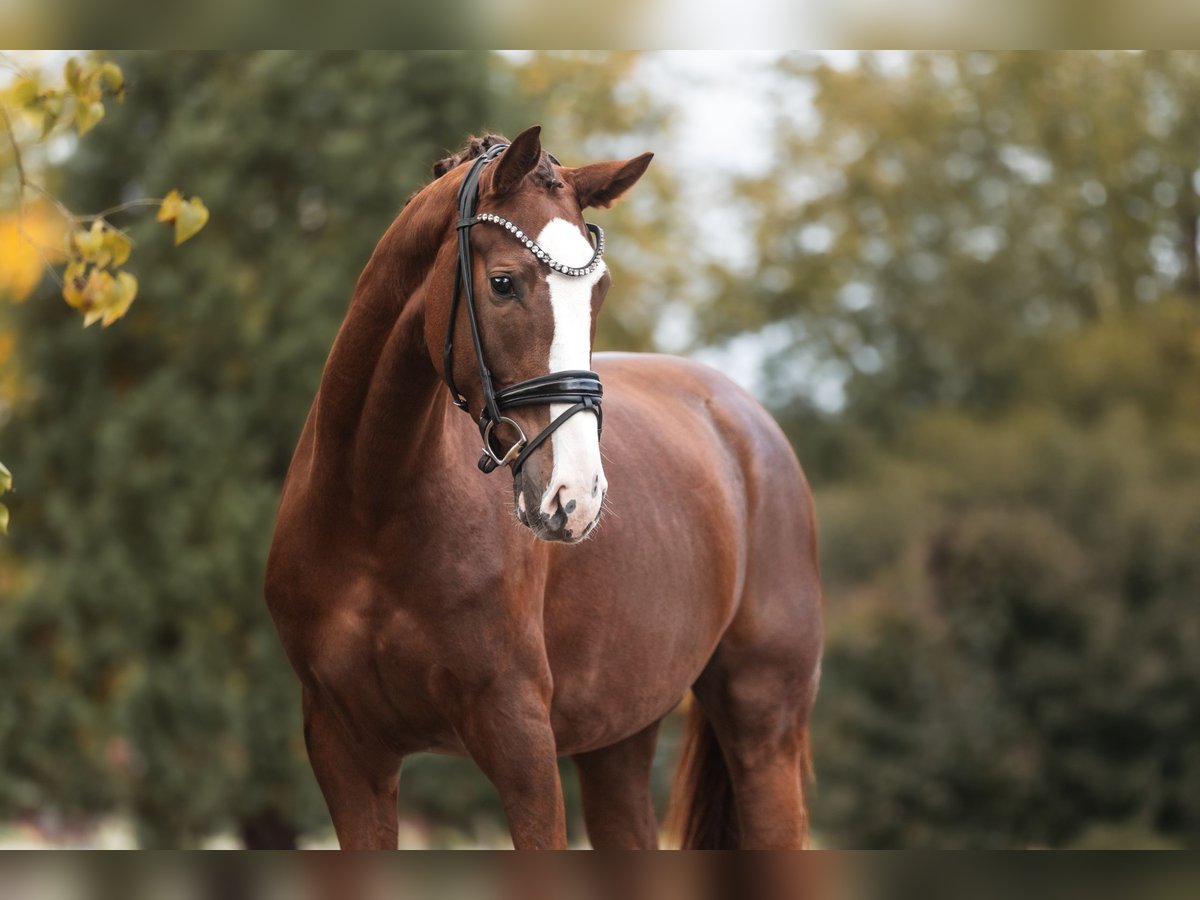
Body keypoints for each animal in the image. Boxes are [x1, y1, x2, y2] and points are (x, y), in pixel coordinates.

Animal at [264, 126, 824, 849]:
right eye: (503, 283)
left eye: (599, 291)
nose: (575, 495)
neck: (371, 513)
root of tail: (744, 417)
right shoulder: (346, 756)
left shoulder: (521, 744)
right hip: (618, 741)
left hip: (765, 733)